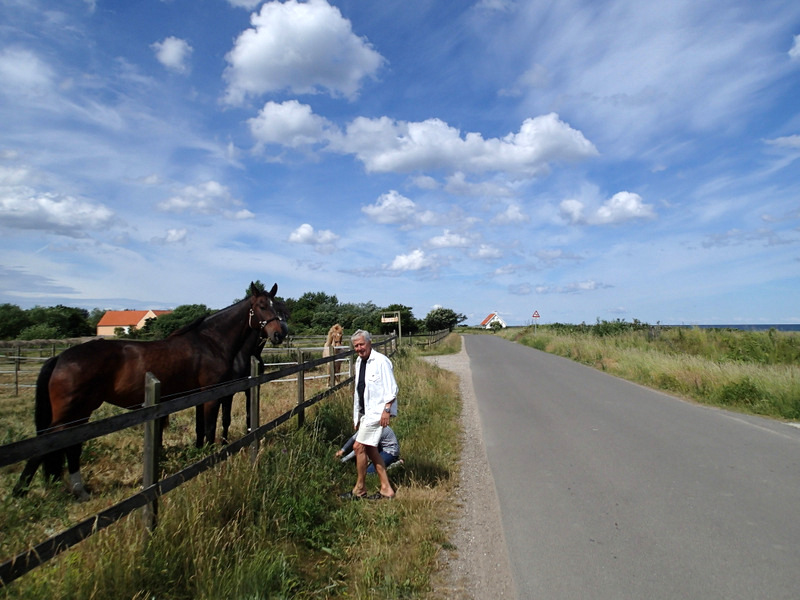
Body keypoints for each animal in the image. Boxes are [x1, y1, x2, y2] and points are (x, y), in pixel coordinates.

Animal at [14, 284, 288, 500]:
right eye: (262, 306)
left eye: (278, 306)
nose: (279, 333)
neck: (211, 342)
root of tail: (60, 358)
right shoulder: (212, 393)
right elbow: (210, 429)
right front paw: (211, 461)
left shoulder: (202, 395)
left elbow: (202, 428)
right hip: (71, 412)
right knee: (46, 444)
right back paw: (21, 492)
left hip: (81, 413)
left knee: (70, 447)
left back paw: (79, 491)